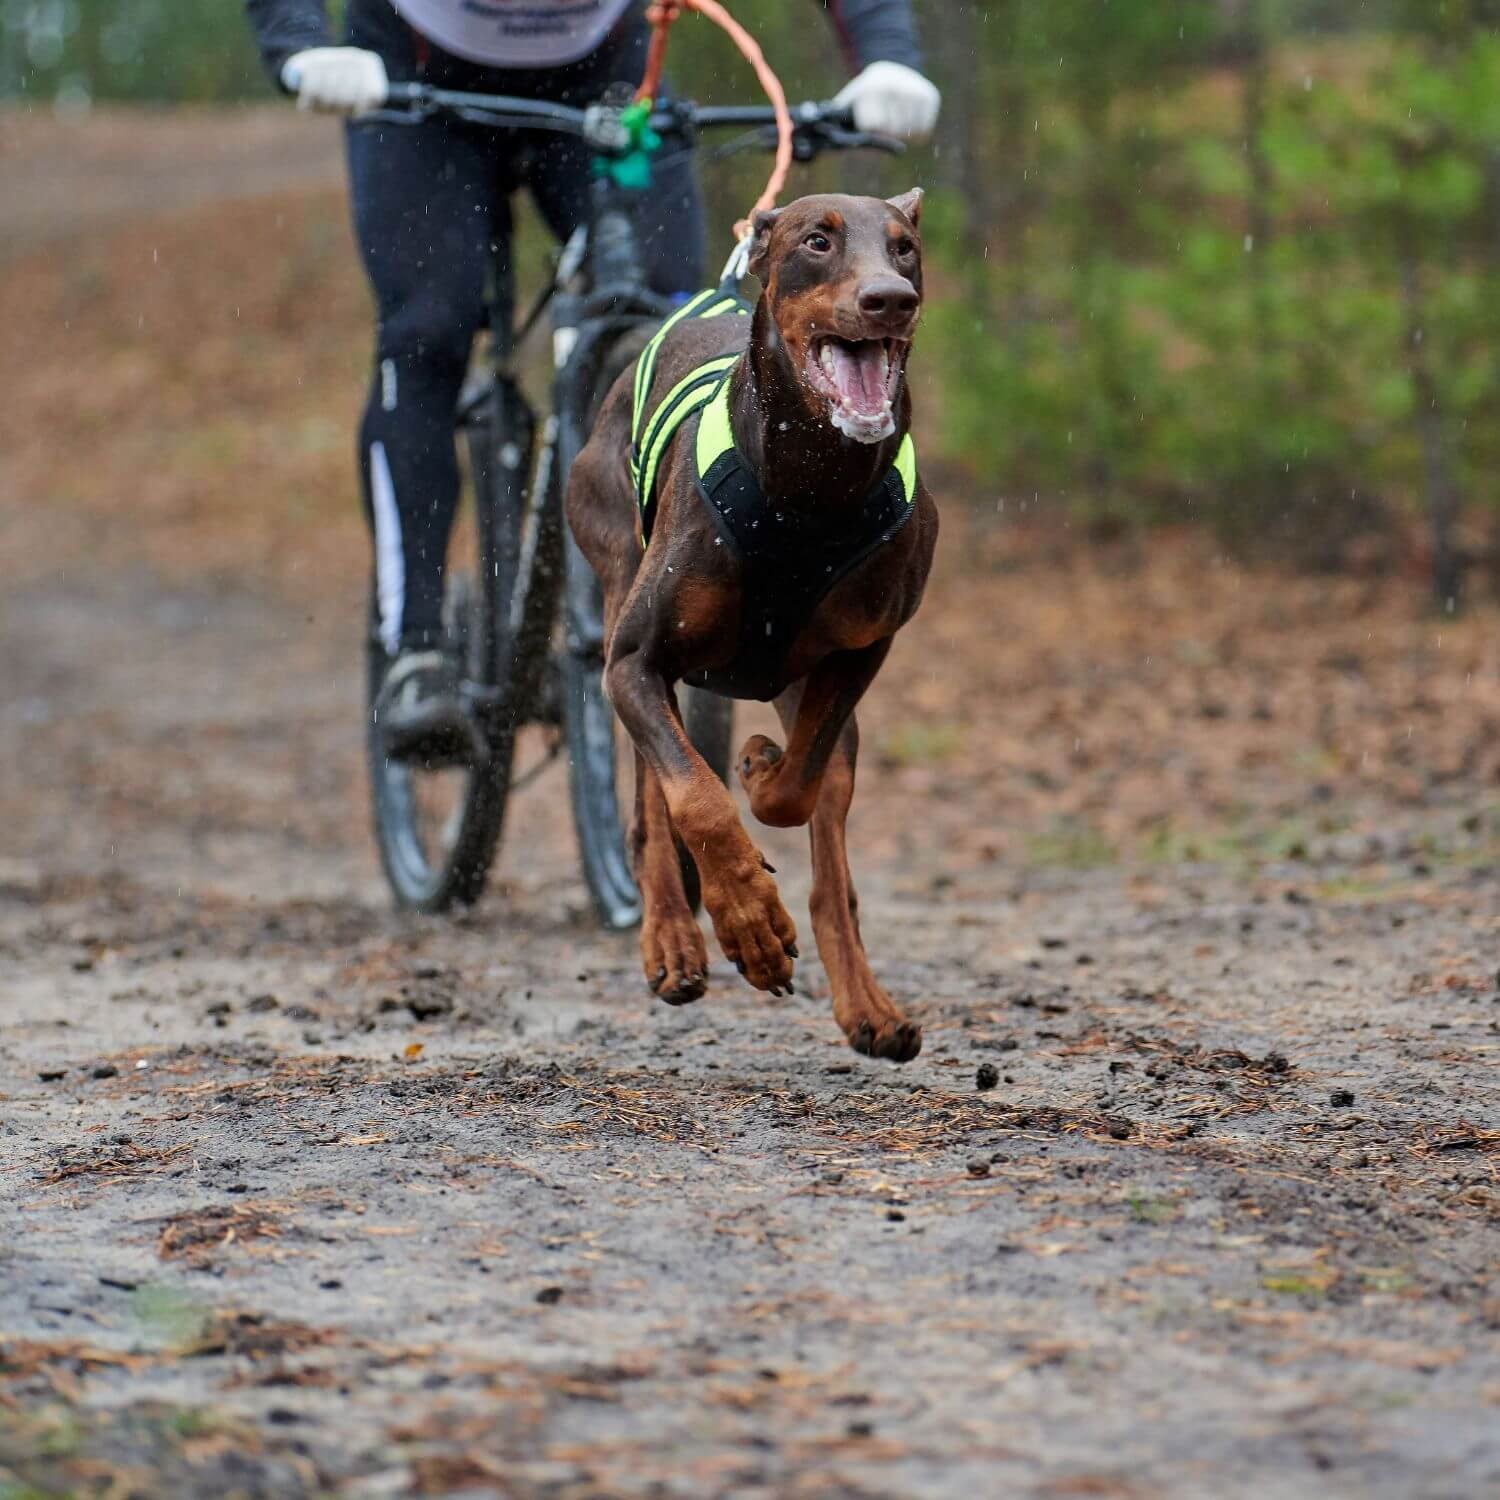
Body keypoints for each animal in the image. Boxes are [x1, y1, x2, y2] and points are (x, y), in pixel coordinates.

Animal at [564, 193, 936, 1062]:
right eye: (817, 241)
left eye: (904, 248)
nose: (889, 300)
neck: (811, 490)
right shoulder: (635, 662)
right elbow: (696, 800)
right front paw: (749, 926)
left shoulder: (865, 648)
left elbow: (795, 793)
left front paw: (763, 767)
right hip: (613, 579)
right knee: (649, 804)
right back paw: (673, 939)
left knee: (833, 865)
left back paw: (868, 1009)